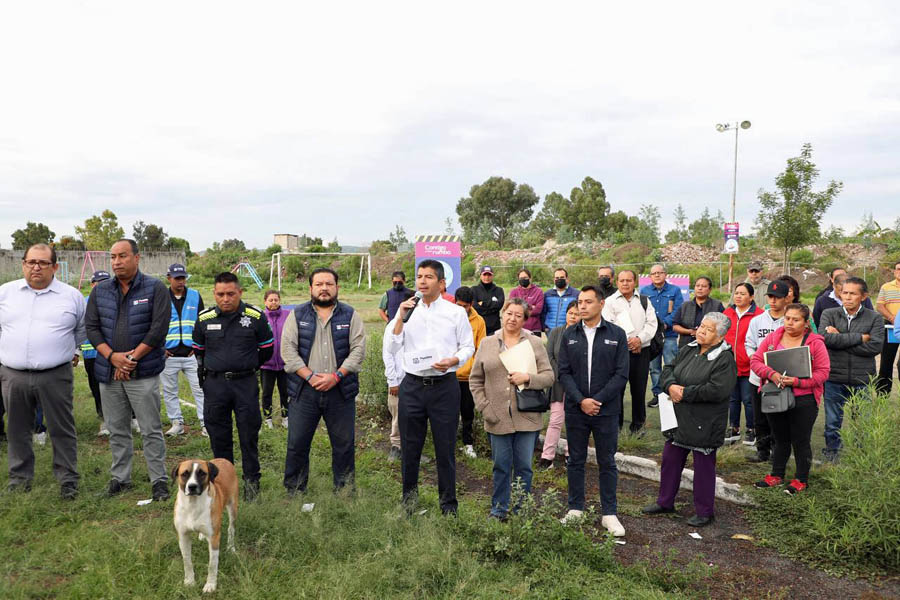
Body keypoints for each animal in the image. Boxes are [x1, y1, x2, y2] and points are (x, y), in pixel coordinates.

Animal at [172, 460, 239, 592]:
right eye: (184, 474)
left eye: (202, 473)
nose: (192, 487)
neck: (192, 504)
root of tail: (224, 459)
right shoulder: (183, 536)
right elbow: (187, 561)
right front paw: (189, 581)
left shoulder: (214, 538)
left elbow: (212, 565)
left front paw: (210, 585)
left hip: (233, 507)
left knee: (231, 528)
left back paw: (230, 547)